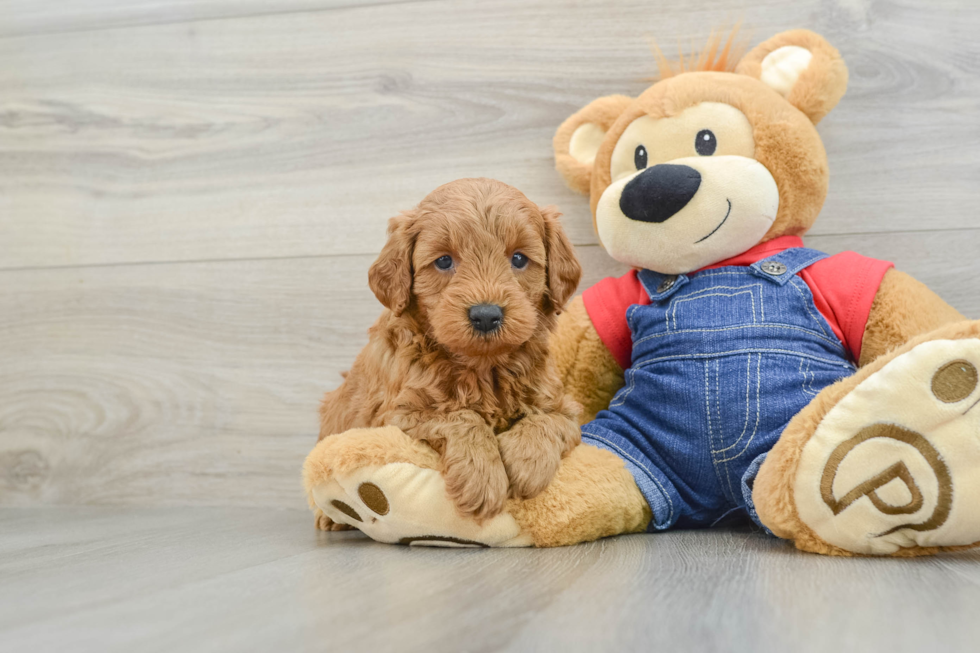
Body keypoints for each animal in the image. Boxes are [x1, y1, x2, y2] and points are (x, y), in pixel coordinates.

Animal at [318, 176, 580, 528]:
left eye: (519, 259)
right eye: (444, 261)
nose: (486, 315)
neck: (483, 368)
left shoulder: (563, 406)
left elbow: (548, 420)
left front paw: (526, 464)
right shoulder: (395, 416)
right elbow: (461, 416)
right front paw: (483, 479)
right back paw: (333, 517)